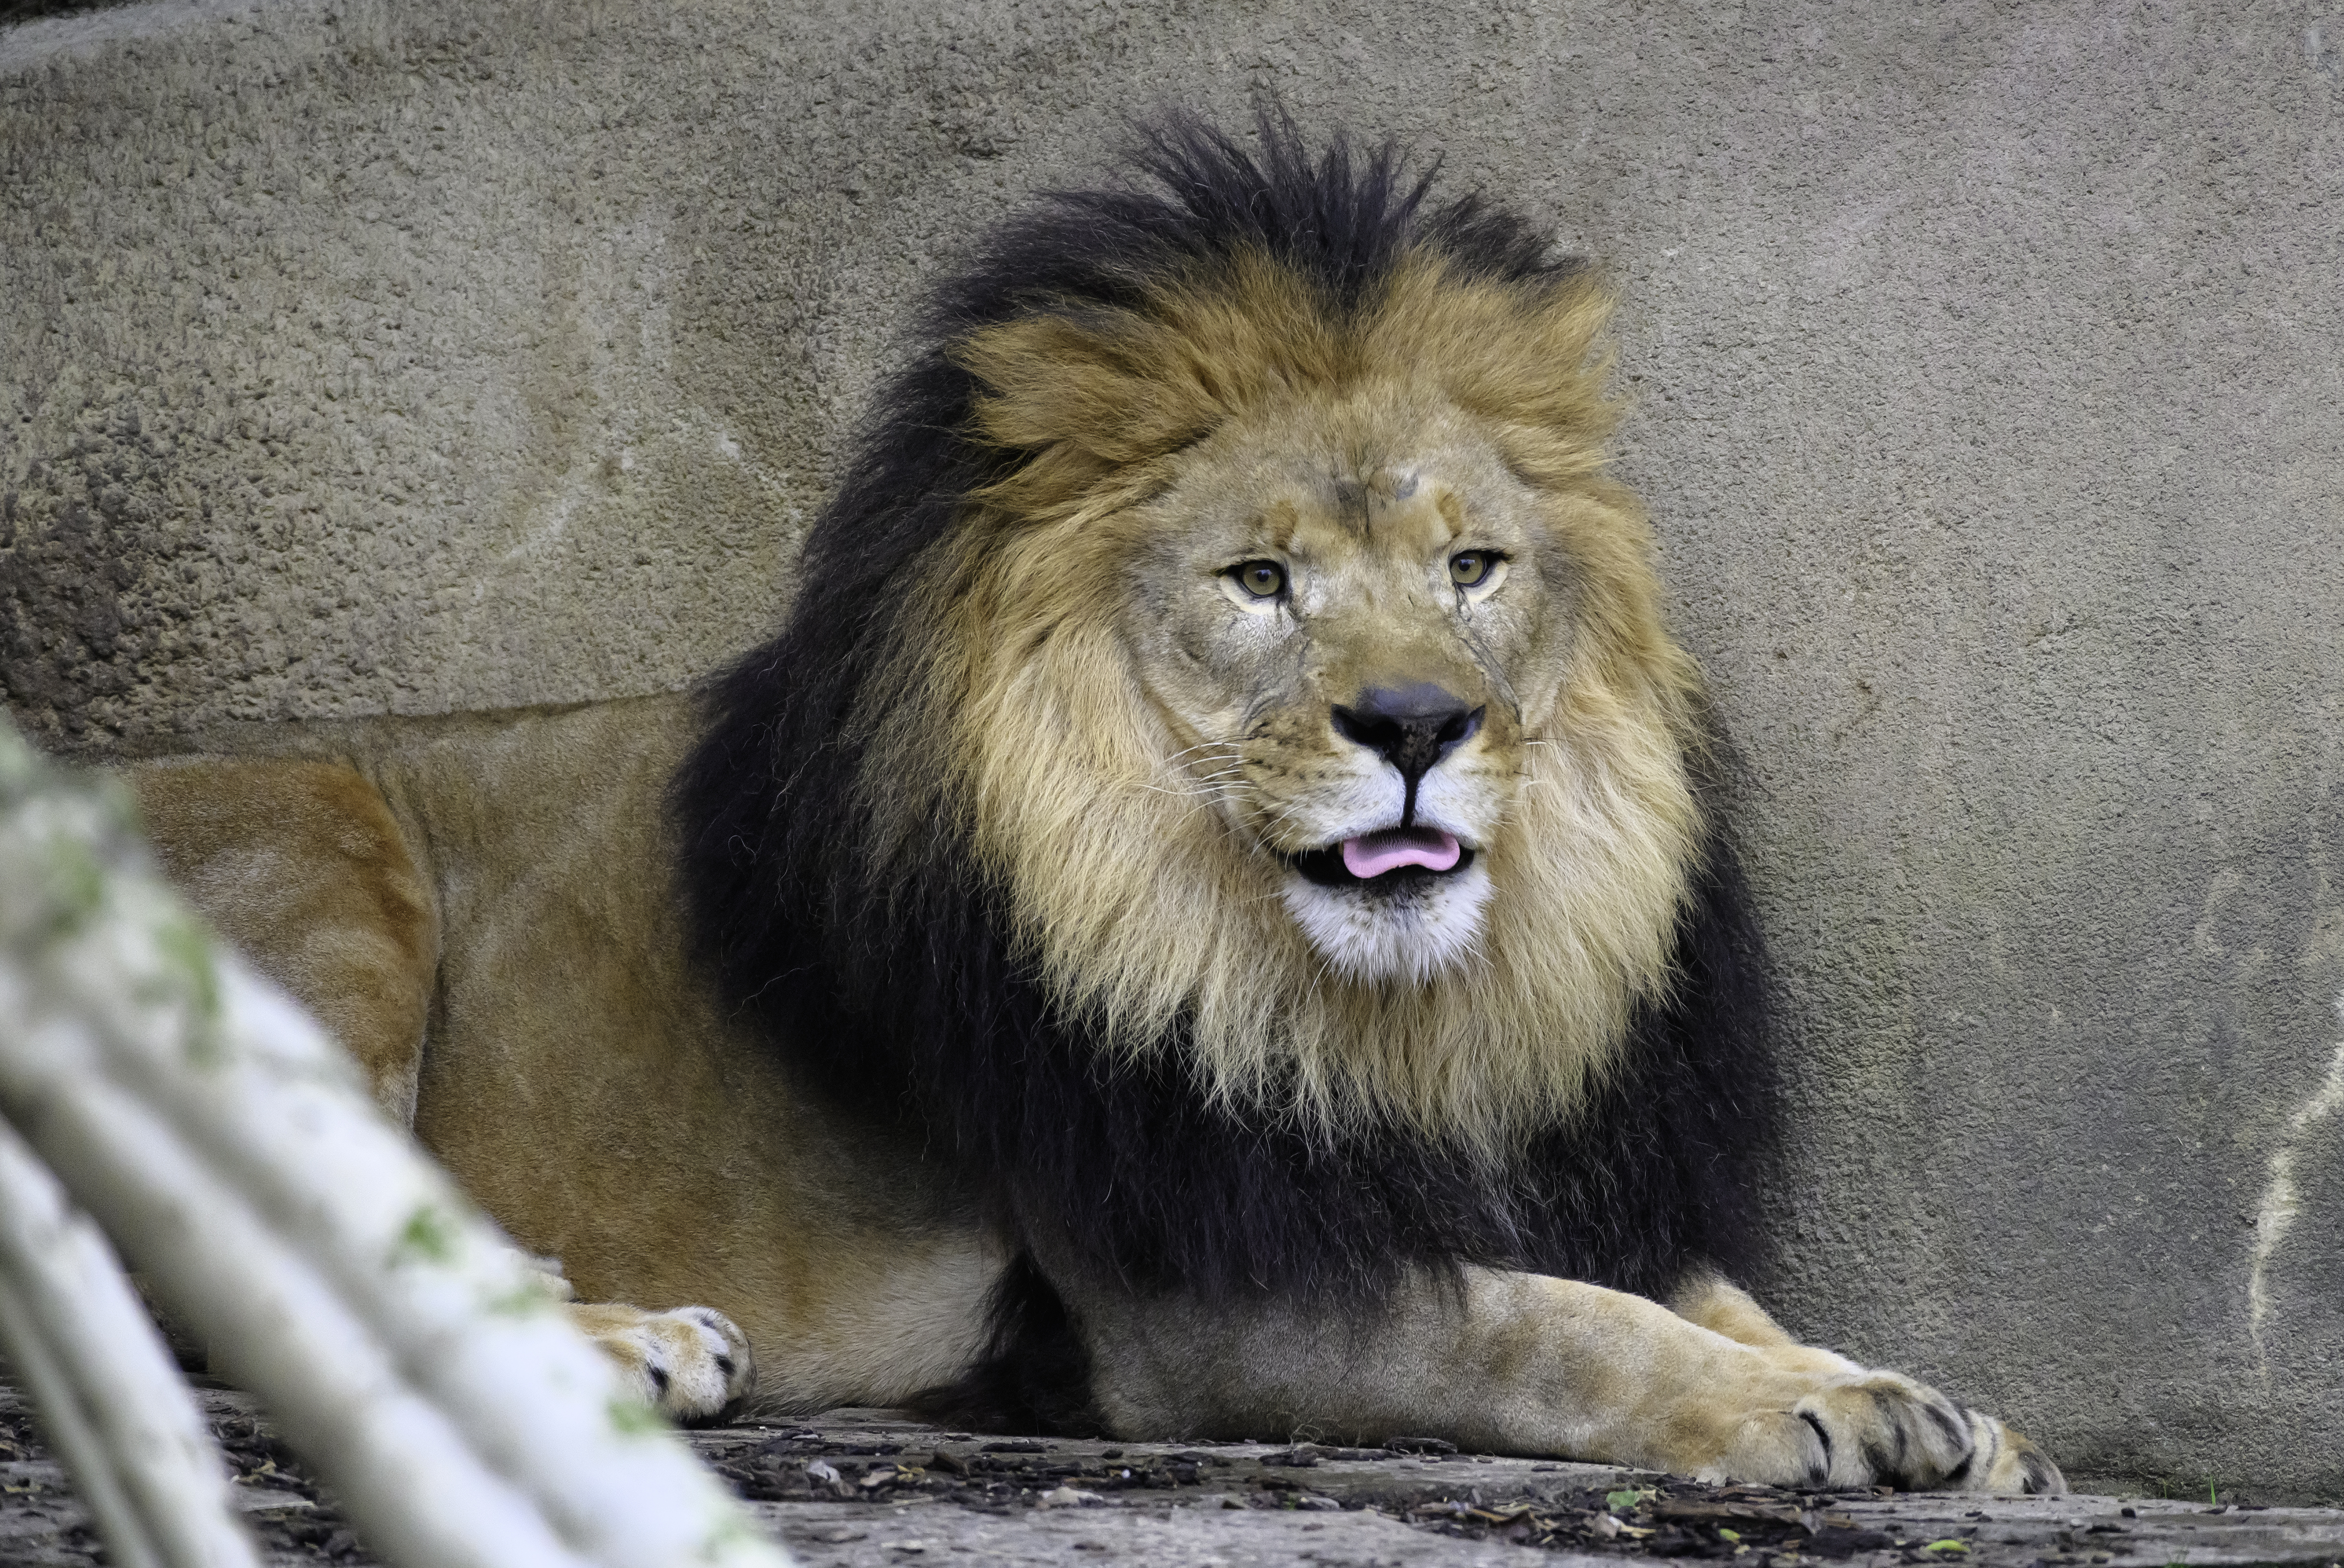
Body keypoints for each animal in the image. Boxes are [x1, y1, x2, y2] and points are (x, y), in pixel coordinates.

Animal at [119, 122, 2062, 1491]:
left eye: (1472, 568)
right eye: (1260, 580)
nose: (1418, 721)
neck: (1371, 1010)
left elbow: (1693, 1287)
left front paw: (1910, 1393)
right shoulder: (1202, 1291)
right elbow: (1561, 1332)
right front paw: (1806, 1411)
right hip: (321, 841)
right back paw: (622, 1346)